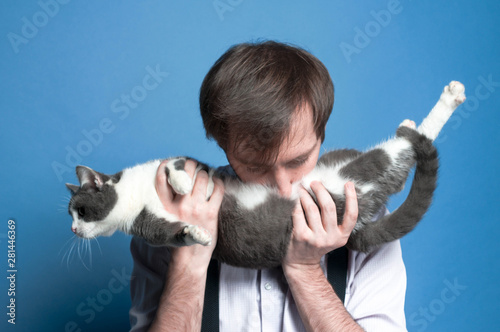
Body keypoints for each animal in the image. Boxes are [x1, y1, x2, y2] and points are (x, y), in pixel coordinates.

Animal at [65, 81, 464, 270]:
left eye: (80, 211)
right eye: (72, 217)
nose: (72, 229)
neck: (138, 195)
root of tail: (354, 230)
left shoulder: (193, 163)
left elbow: (171, 163)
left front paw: (180, 183)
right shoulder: (149, 228)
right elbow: (174, 235)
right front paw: (197, 233)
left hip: (348, 173)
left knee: (406, 148)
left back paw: (444, 102)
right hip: (348, 182)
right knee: (401, 159)